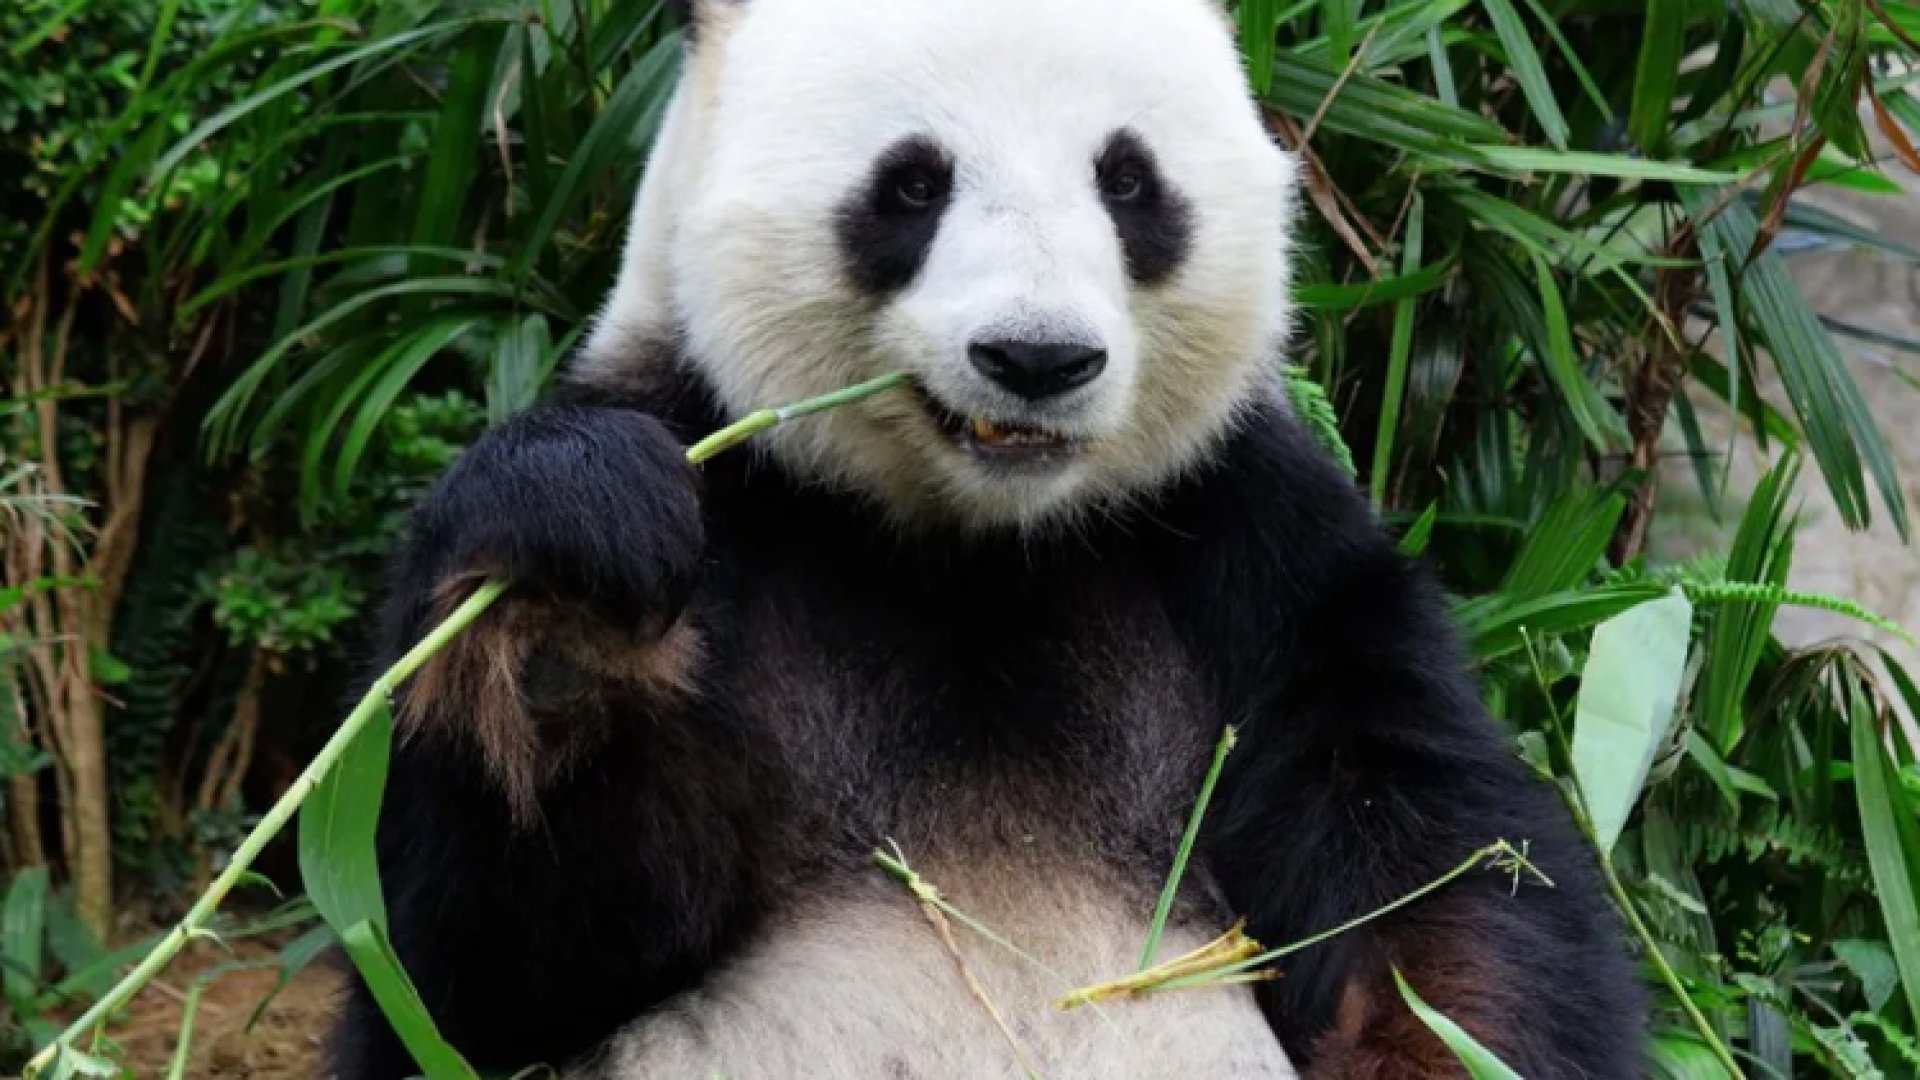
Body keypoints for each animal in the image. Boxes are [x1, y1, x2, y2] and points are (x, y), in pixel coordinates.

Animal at [331, 0, 1644, 1077]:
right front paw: (566, 598)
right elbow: (480, 968)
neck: (975, 545)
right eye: (913, 185)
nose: (1038, 357)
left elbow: (1432, 869)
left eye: (1129, 181)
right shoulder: (726, 478)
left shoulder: (1251, 547)